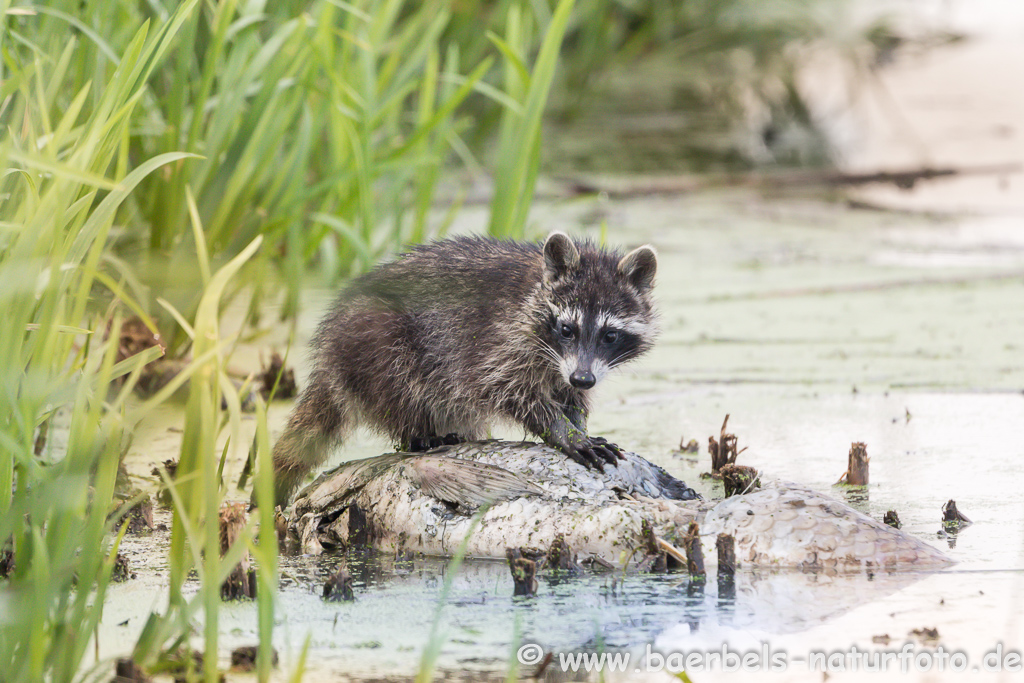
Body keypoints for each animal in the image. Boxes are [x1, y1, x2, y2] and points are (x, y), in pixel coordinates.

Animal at [268, 232, 659, 505]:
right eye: (567, 329)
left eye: (610, 335)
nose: (583, 378)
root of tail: (328, 352)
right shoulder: (502, 341)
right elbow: (505, 388)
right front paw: (563, 431)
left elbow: (570, 396)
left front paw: (576, 421)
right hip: (372, 340)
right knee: (399, 380)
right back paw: (418, 433)